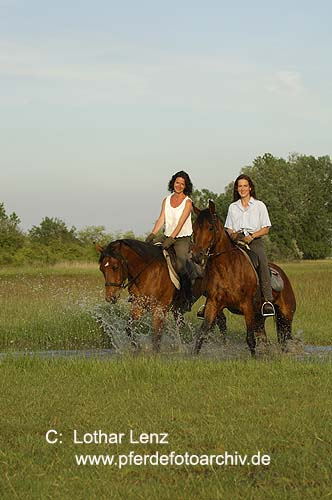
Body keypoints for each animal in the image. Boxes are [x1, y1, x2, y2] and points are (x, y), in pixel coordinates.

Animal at [95, 238, 226, 352]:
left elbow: (157, 335)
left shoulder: (160, 308)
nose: (110, 297)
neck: (147, 272)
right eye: (101, 269)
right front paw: (137, 348)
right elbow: (129, 328)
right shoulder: (139, 305)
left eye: (115, 267)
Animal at [191, 201, 296, 358]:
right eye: (194, 228)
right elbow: (202, 333)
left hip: (286, 316)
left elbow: (250, 339)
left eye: (210, 228)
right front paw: (193, 356)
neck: (228, 269)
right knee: (265, 338)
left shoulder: (247, 307)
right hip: (260, 318)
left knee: (285, 339)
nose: (197, 256)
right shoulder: (213, 304)